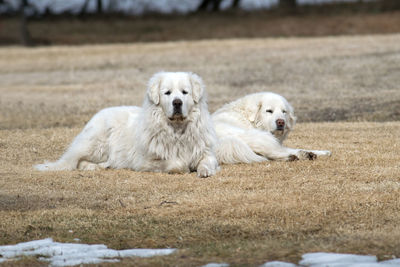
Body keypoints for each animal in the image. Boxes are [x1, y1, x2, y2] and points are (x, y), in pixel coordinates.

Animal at [35, 72, 219, 179]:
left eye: (184, 92)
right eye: (167, 93)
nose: (177, 102)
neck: (177, 130)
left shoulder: (205, 152)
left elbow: (207, 162)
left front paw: (205, 171)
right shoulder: (145, 161)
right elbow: (176, 163)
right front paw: (185, 168)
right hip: (96, 145)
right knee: (76, 161)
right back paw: (93, 167)